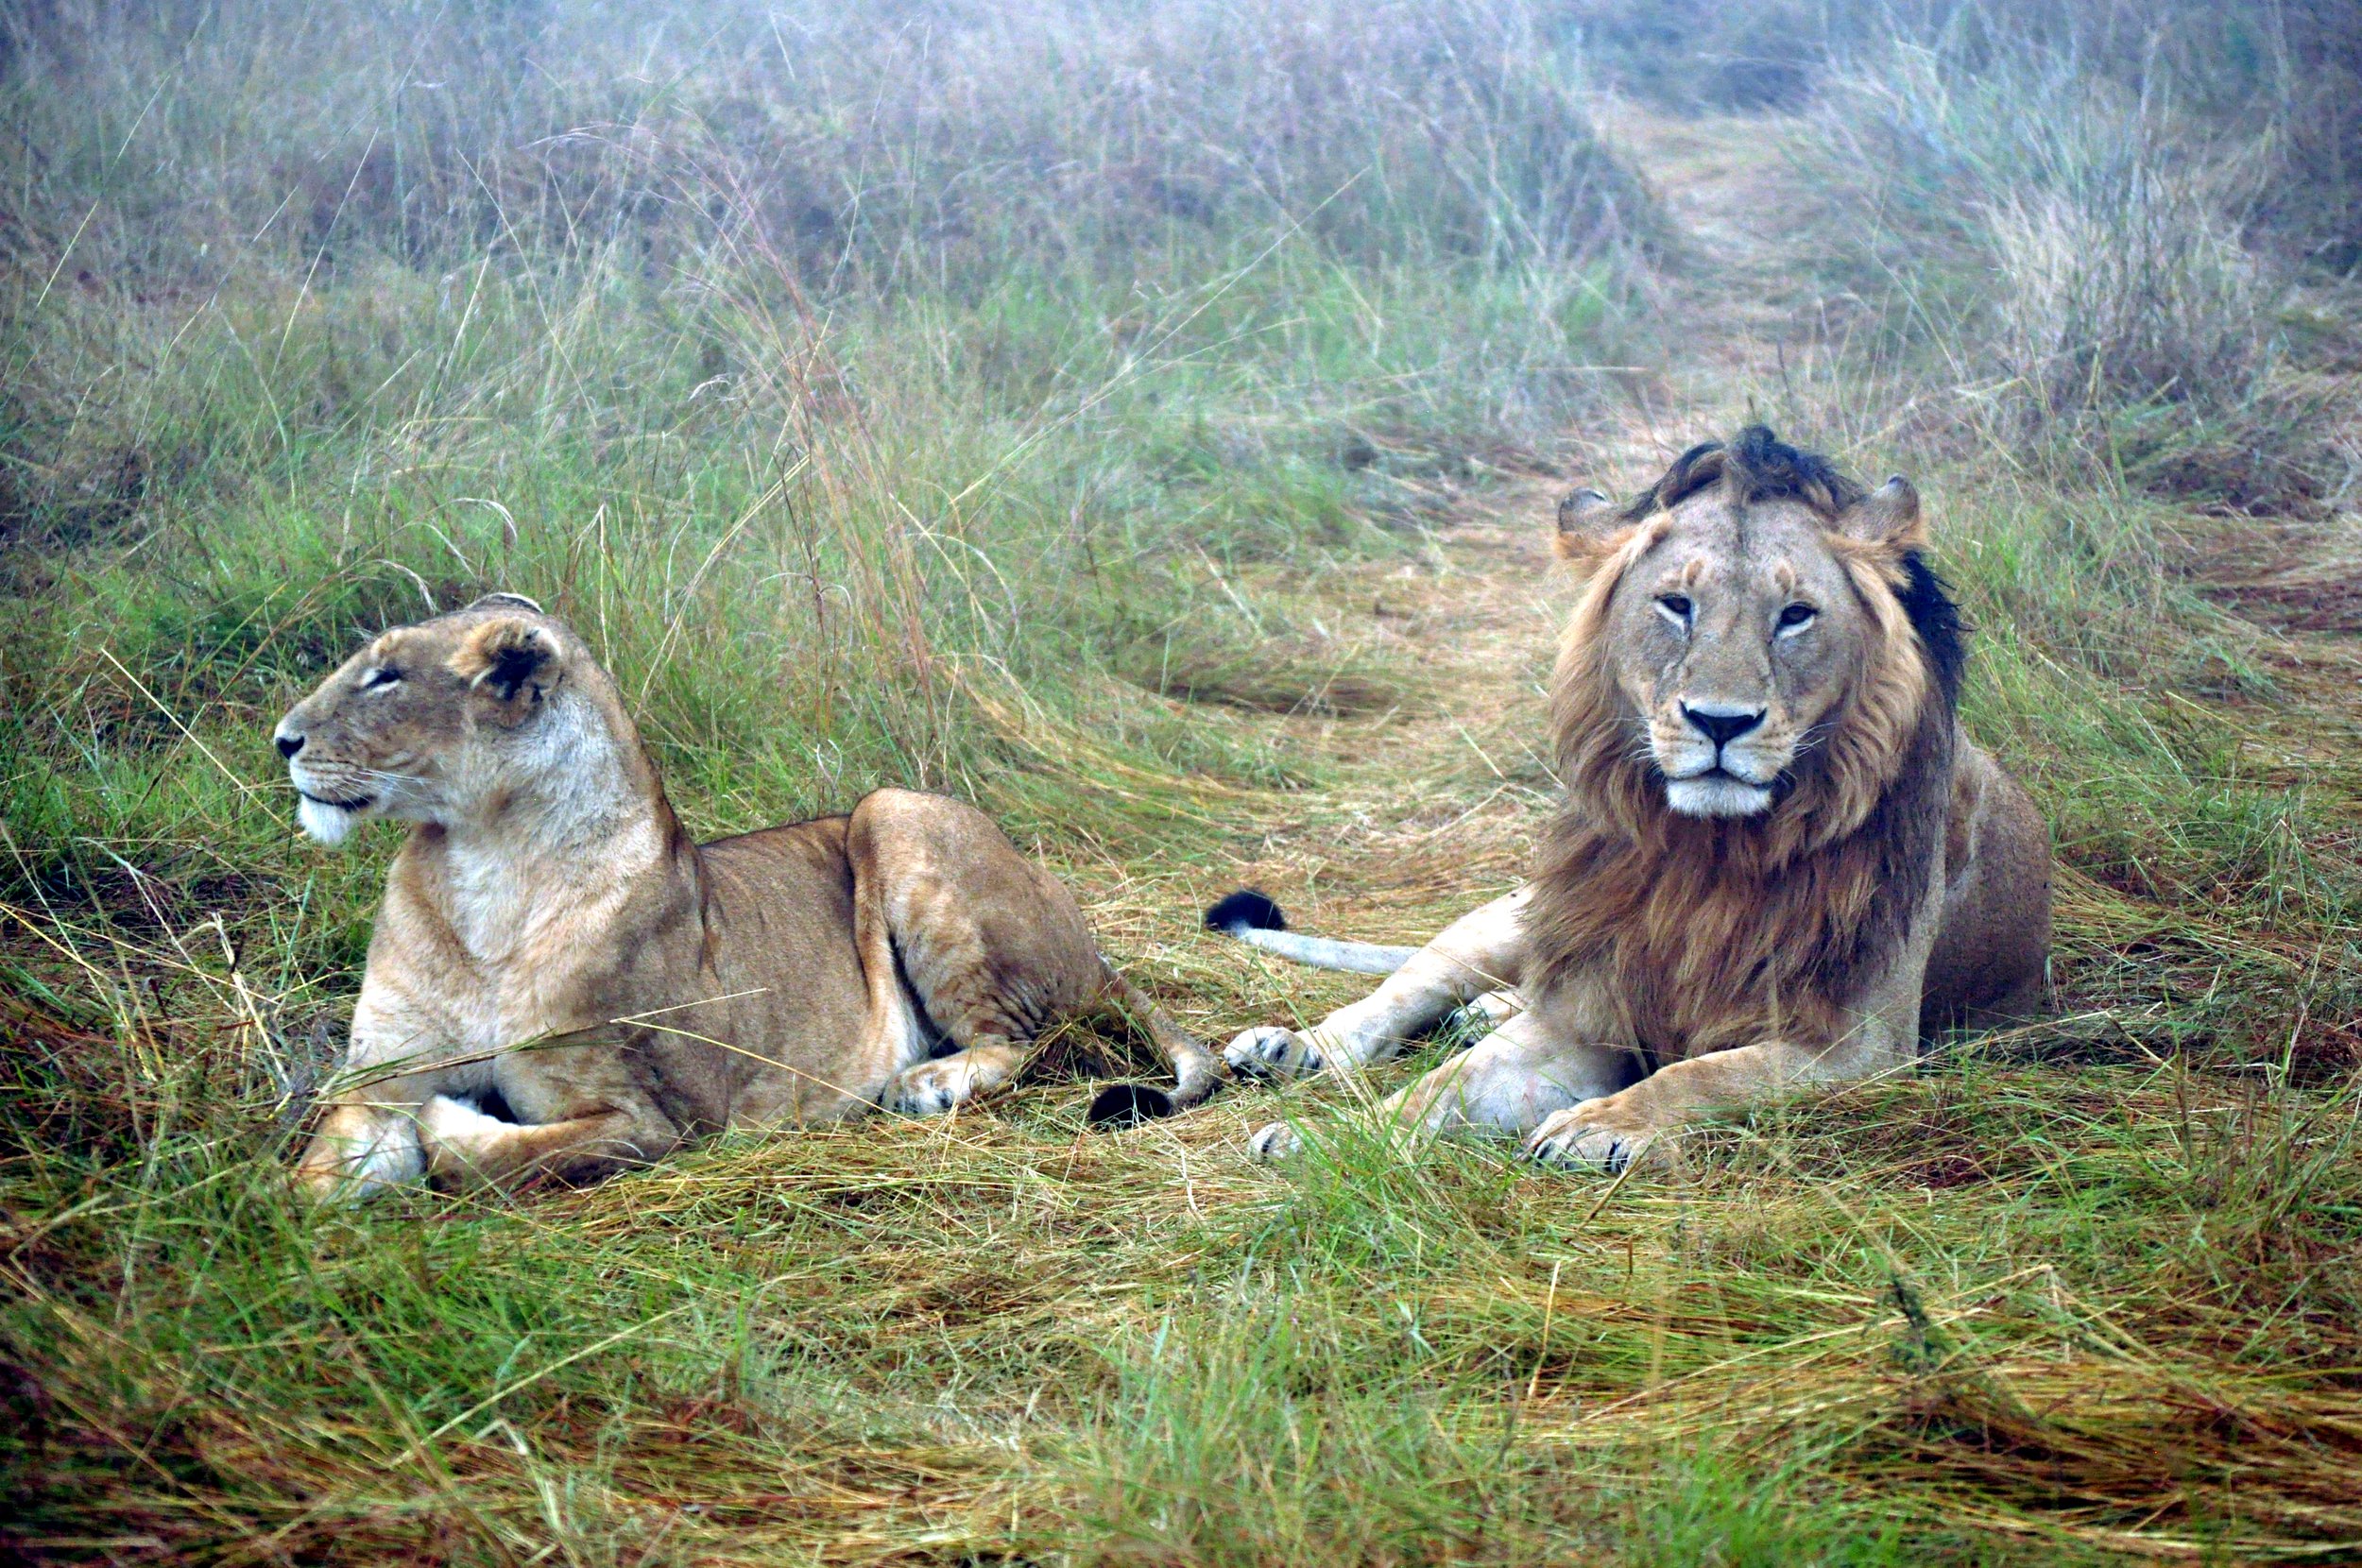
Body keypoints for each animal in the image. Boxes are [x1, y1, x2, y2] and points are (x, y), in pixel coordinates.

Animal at [281, 595, 1219, 1195]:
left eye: (386, 677)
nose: (282, 739)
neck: (485, 865)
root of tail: (1090, 938)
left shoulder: (663, 1121)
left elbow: (501, 1157)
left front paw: (448, 1126)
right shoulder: (377, 1078)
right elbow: (313, 1181)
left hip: (894, 808)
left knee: (1026, 1040)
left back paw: (928, 1085)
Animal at [1219, 425, 2050, 1162]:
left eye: (1796, 616)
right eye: (1676, 605)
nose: (1721, 722)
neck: (1705, 856)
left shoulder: (1862, 1046)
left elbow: (1704, 1075)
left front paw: (1600, 1125)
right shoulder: (1583, 1013)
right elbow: (1437, 1090)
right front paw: (1327, 1140)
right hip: (1506, 920)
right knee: (1401, 991)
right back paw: (1288, 1048)